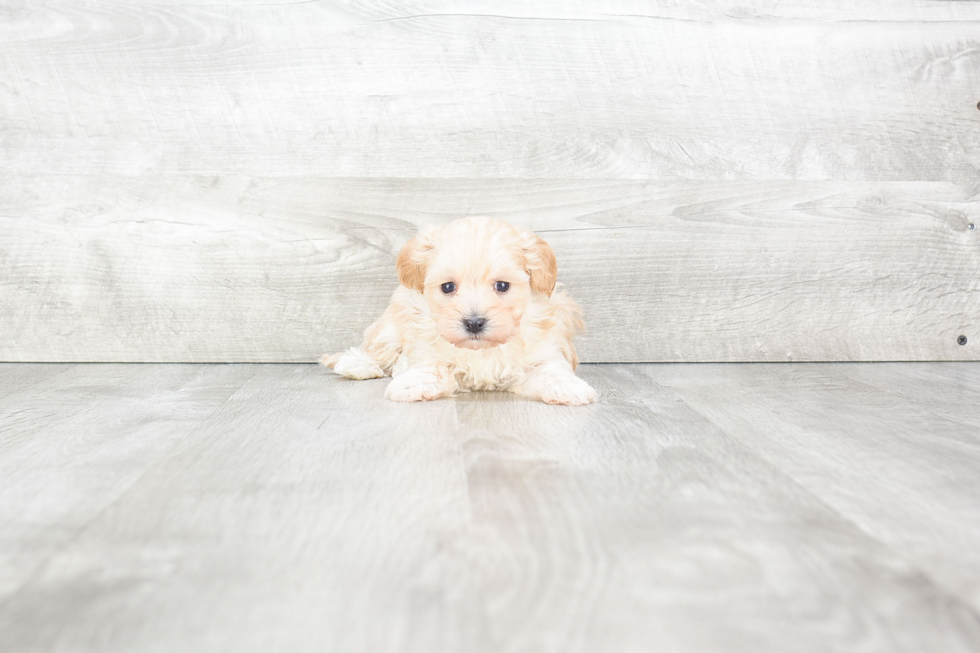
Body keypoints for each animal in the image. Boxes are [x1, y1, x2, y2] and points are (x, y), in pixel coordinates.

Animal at [322, 216, 596, 404]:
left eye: (502, 285)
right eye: (448, 287)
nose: (474, 323)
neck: (482, 349)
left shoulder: (543, 349)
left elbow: (550, 369)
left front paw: (569, 387)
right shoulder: (424, 341)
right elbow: (432, 364)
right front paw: (413, 383)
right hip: (392, 326)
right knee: (377, 351)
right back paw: (357, 365)